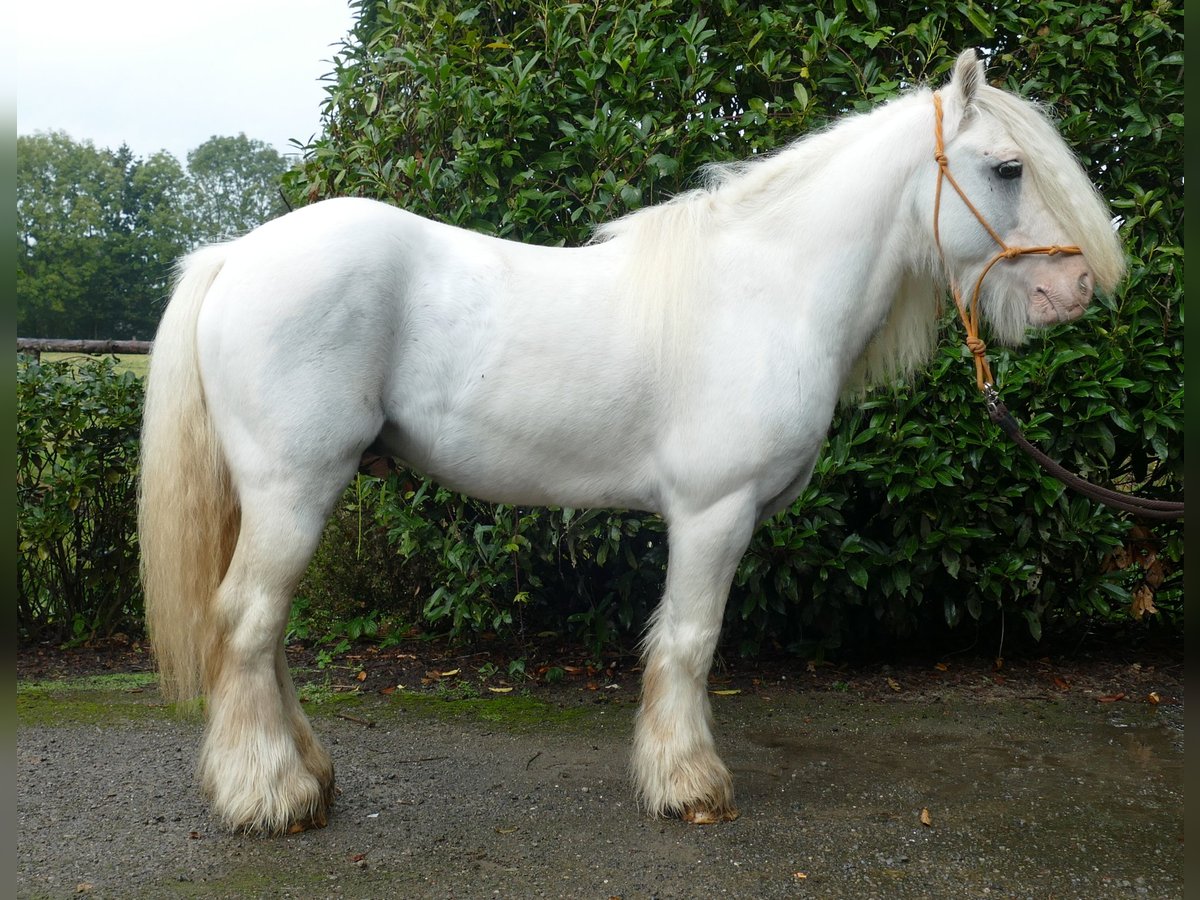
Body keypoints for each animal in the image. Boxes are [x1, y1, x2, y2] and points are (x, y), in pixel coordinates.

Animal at [140, 52, 1123, 835]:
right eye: (1007, 167)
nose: (1075, 287)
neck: (771, 290)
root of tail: (234, 256)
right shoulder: (713, 513)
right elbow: (689, 641)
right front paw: (689, 786)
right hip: (293, 487)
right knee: (249, 621)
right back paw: (270, 796)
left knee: (263, 634)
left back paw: (307, 777)